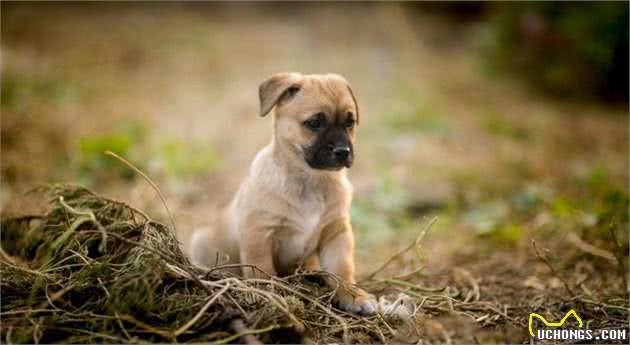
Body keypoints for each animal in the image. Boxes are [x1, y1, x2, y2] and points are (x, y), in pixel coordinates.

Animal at [186, 71, 376, 314]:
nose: (343, 151)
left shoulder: (336, 233)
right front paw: (270, 296)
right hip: (201, 242)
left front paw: (354, 296)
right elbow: (262, 271)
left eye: (349, 122)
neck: (310, 180)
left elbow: (342, 269)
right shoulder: (259, 234)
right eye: (315, 123)